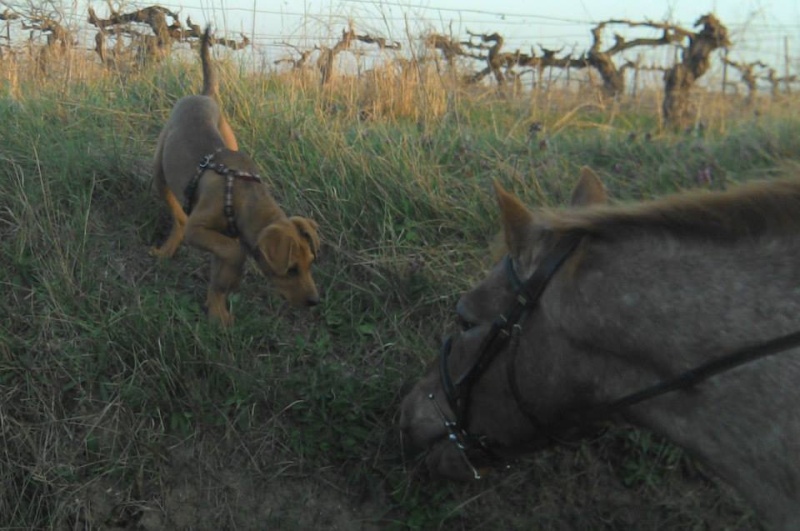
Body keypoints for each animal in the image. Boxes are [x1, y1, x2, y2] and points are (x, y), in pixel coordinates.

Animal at [152, 27, 320, 326]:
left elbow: (219, 276)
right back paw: (166, 248)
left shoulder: (217, 241)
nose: (315, 302)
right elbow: (234, 252)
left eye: (310, 263)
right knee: (179, 218)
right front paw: (230, 285)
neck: (242, 197)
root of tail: (204, 95)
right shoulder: (200, 229)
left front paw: (217, 311)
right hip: (159, 169)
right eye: (290, 269)